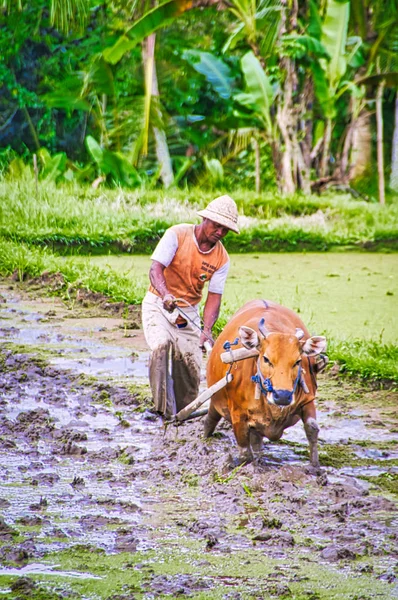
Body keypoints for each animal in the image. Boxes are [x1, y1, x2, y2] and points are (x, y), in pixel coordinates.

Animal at [204, 302, 328, 466]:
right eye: (266, 359)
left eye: (297, 361)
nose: (282, 396)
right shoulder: (238, 415)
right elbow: (245, 454)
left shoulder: (308, 400)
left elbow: (312, 429)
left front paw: (315, 466)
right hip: (215, 398)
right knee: (211, 418)